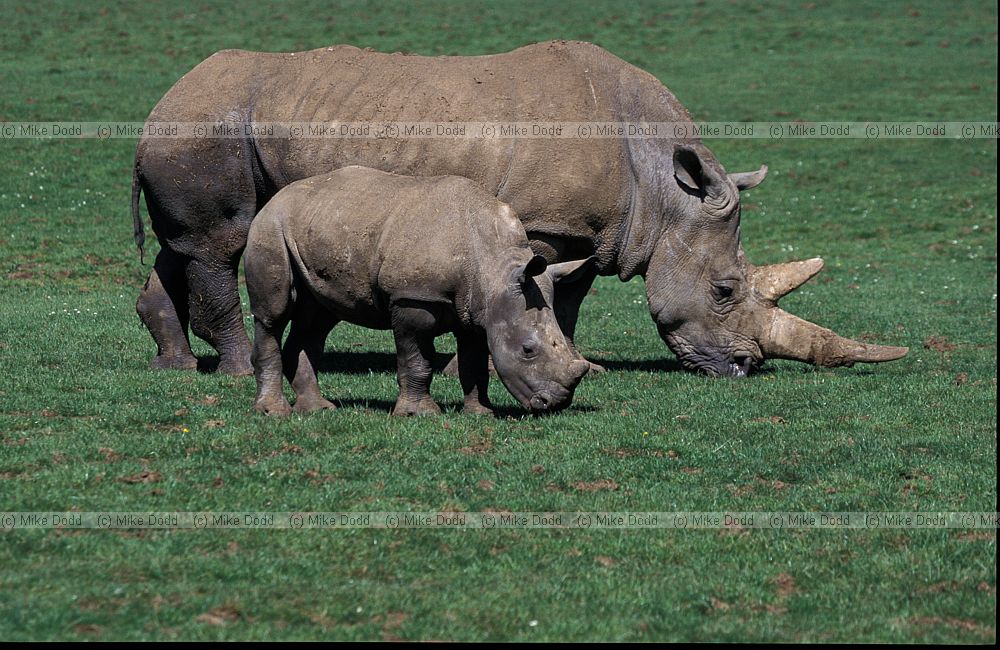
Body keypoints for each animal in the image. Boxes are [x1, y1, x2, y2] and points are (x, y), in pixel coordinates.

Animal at [131, 40, 907, 377]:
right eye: (723, 290)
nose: (744, 368)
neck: (664, 188)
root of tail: (162, 99)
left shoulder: (593, 232)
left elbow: (567, 298)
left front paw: (578, 361)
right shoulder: (542, 224)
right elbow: (537, 292)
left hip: (208, 127)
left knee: (181, 248)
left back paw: (175, 366)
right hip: (205, 129)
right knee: (218, 244)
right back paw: (233, 373)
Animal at [246, 166, 591, 416]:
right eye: (527, 350)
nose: (556, 404)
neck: (494, 267)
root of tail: (276, 196)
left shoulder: (477, 308)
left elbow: (474, 363)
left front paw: (481, 413)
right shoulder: (413, 299)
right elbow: (418, 361)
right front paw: (419, 414)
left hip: (320, 228)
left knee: (318, 317)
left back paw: (318, 410)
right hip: (270, 227)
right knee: (273, 315)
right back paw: (274, 412)